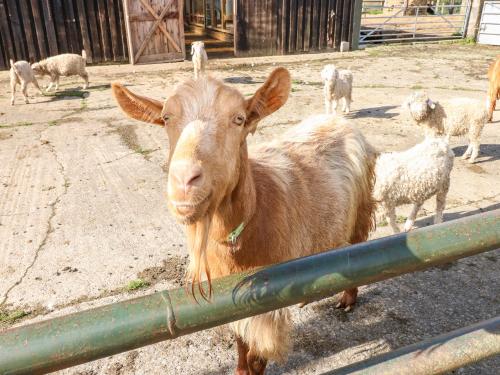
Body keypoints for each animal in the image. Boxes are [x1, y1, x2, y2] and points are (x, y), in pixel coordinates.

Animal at [110, 69, 376, 374]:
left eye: (238, 119)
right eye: (166, 118)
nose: (184, 181)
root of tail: (338, 121)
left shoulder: (268, 303)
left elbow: (258, 357)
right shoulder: (231, 296)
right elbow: (240, 341)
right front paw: (239, 368)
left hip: (360, 212)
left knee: (358, 251)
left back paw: (348, 300)